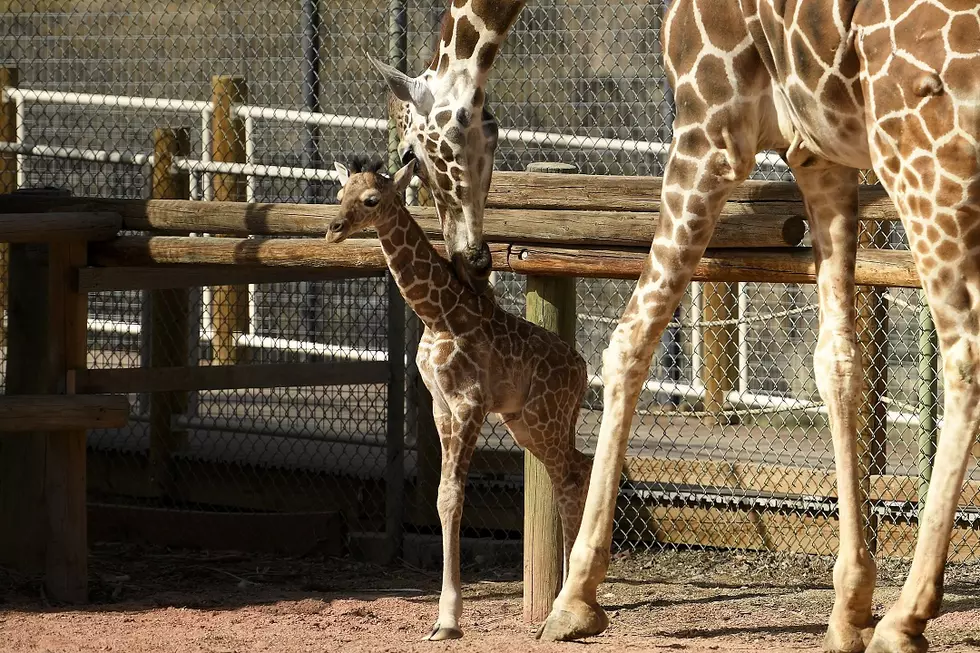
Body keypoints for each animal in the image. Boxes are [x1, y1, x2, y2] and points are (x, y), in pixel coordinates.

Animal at [327, 157, 592, 642]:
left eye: (371, 200)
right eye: (339, 194)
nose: (333, 228)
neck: (438, 315)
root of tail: (583, 372)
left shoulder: (471, 403)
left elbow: (451, 496)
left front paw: (448, 621)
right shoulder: (441, 405)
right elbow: (439, 497)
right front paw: (444, 617)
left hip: (543, 417)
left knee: (569, 476)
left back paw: (561, 608)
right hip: (526, 422)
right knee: (576, 469)